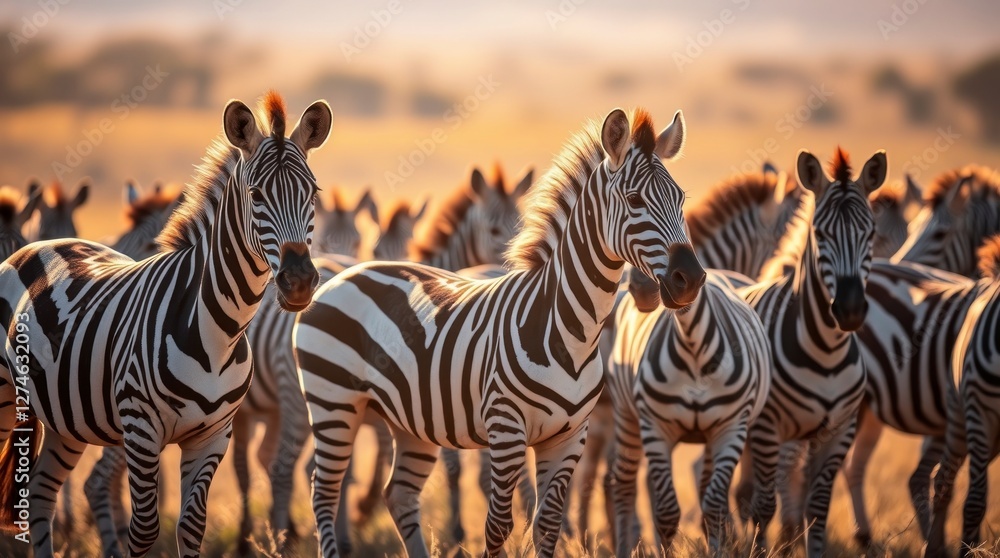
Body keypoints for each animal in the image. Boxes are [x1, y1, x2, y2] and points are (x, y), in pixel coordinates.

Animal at [0, 92, 332, 558]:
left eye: (313, 193)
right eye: (255, 194)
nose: (299, 280)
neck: (219, 332)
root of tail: (41, 244)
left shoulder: (213, 436)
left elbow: (192, 526)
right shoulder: (140, 429)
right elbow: (144, 528)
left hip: (67, 421)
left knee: (42, 493)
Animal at [294, 108, 704, 558]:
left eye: (681, 199)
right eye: (634, 201)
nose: (691, 279)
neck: (569, 332)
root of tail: (346, 272)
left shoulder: (568, 438)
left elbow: (547, 524)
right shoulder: (506, 429)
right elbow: (498, 525)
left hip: (408, 422)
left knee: (399, 495)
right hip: (334, 403)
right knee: (323, 491)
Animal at [606, 265, 771, 555]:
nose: (641, 288)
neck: (692, 343)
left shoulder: (731, 429)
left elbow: (714, 505)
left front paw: (717, 551)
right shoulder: (655, 428)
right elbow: (667, 512)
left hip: (711, 435)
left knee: (706, 488)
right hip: (626, 415)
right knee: (624, 485)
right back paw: (625, 548)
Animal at [739, 148, 886, 557]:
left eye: (870, 234)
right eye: (820, 234)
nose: (849, 310)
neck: (827, 353)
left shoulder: (838, 430)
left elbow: (817, 508)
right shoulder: (768, 428)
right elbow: (764, 506)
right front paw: (759, 550)